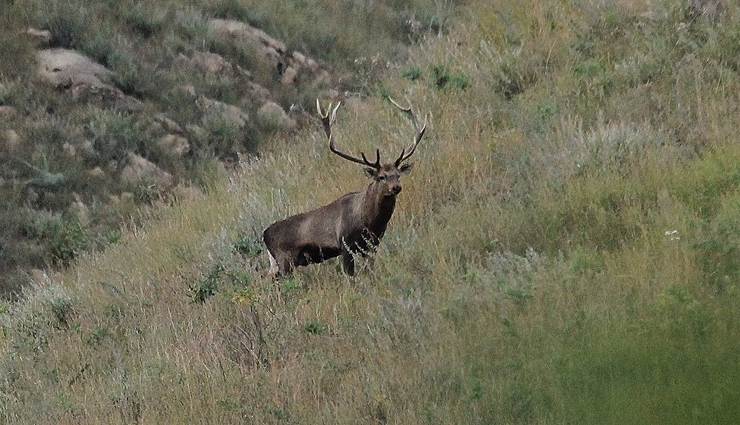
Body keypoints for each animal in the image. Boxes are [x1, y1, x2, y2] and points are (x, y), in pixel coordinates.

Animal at [262, 98, 428, 277]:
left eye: (398, 175)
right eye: (381, 177)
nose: (396, 187)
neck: (369, 221)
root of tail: (265, 234)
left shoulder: (373, 245)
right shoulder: (345, 243)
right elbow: (350, 276)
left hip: (279, 264)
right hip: (285, 259)